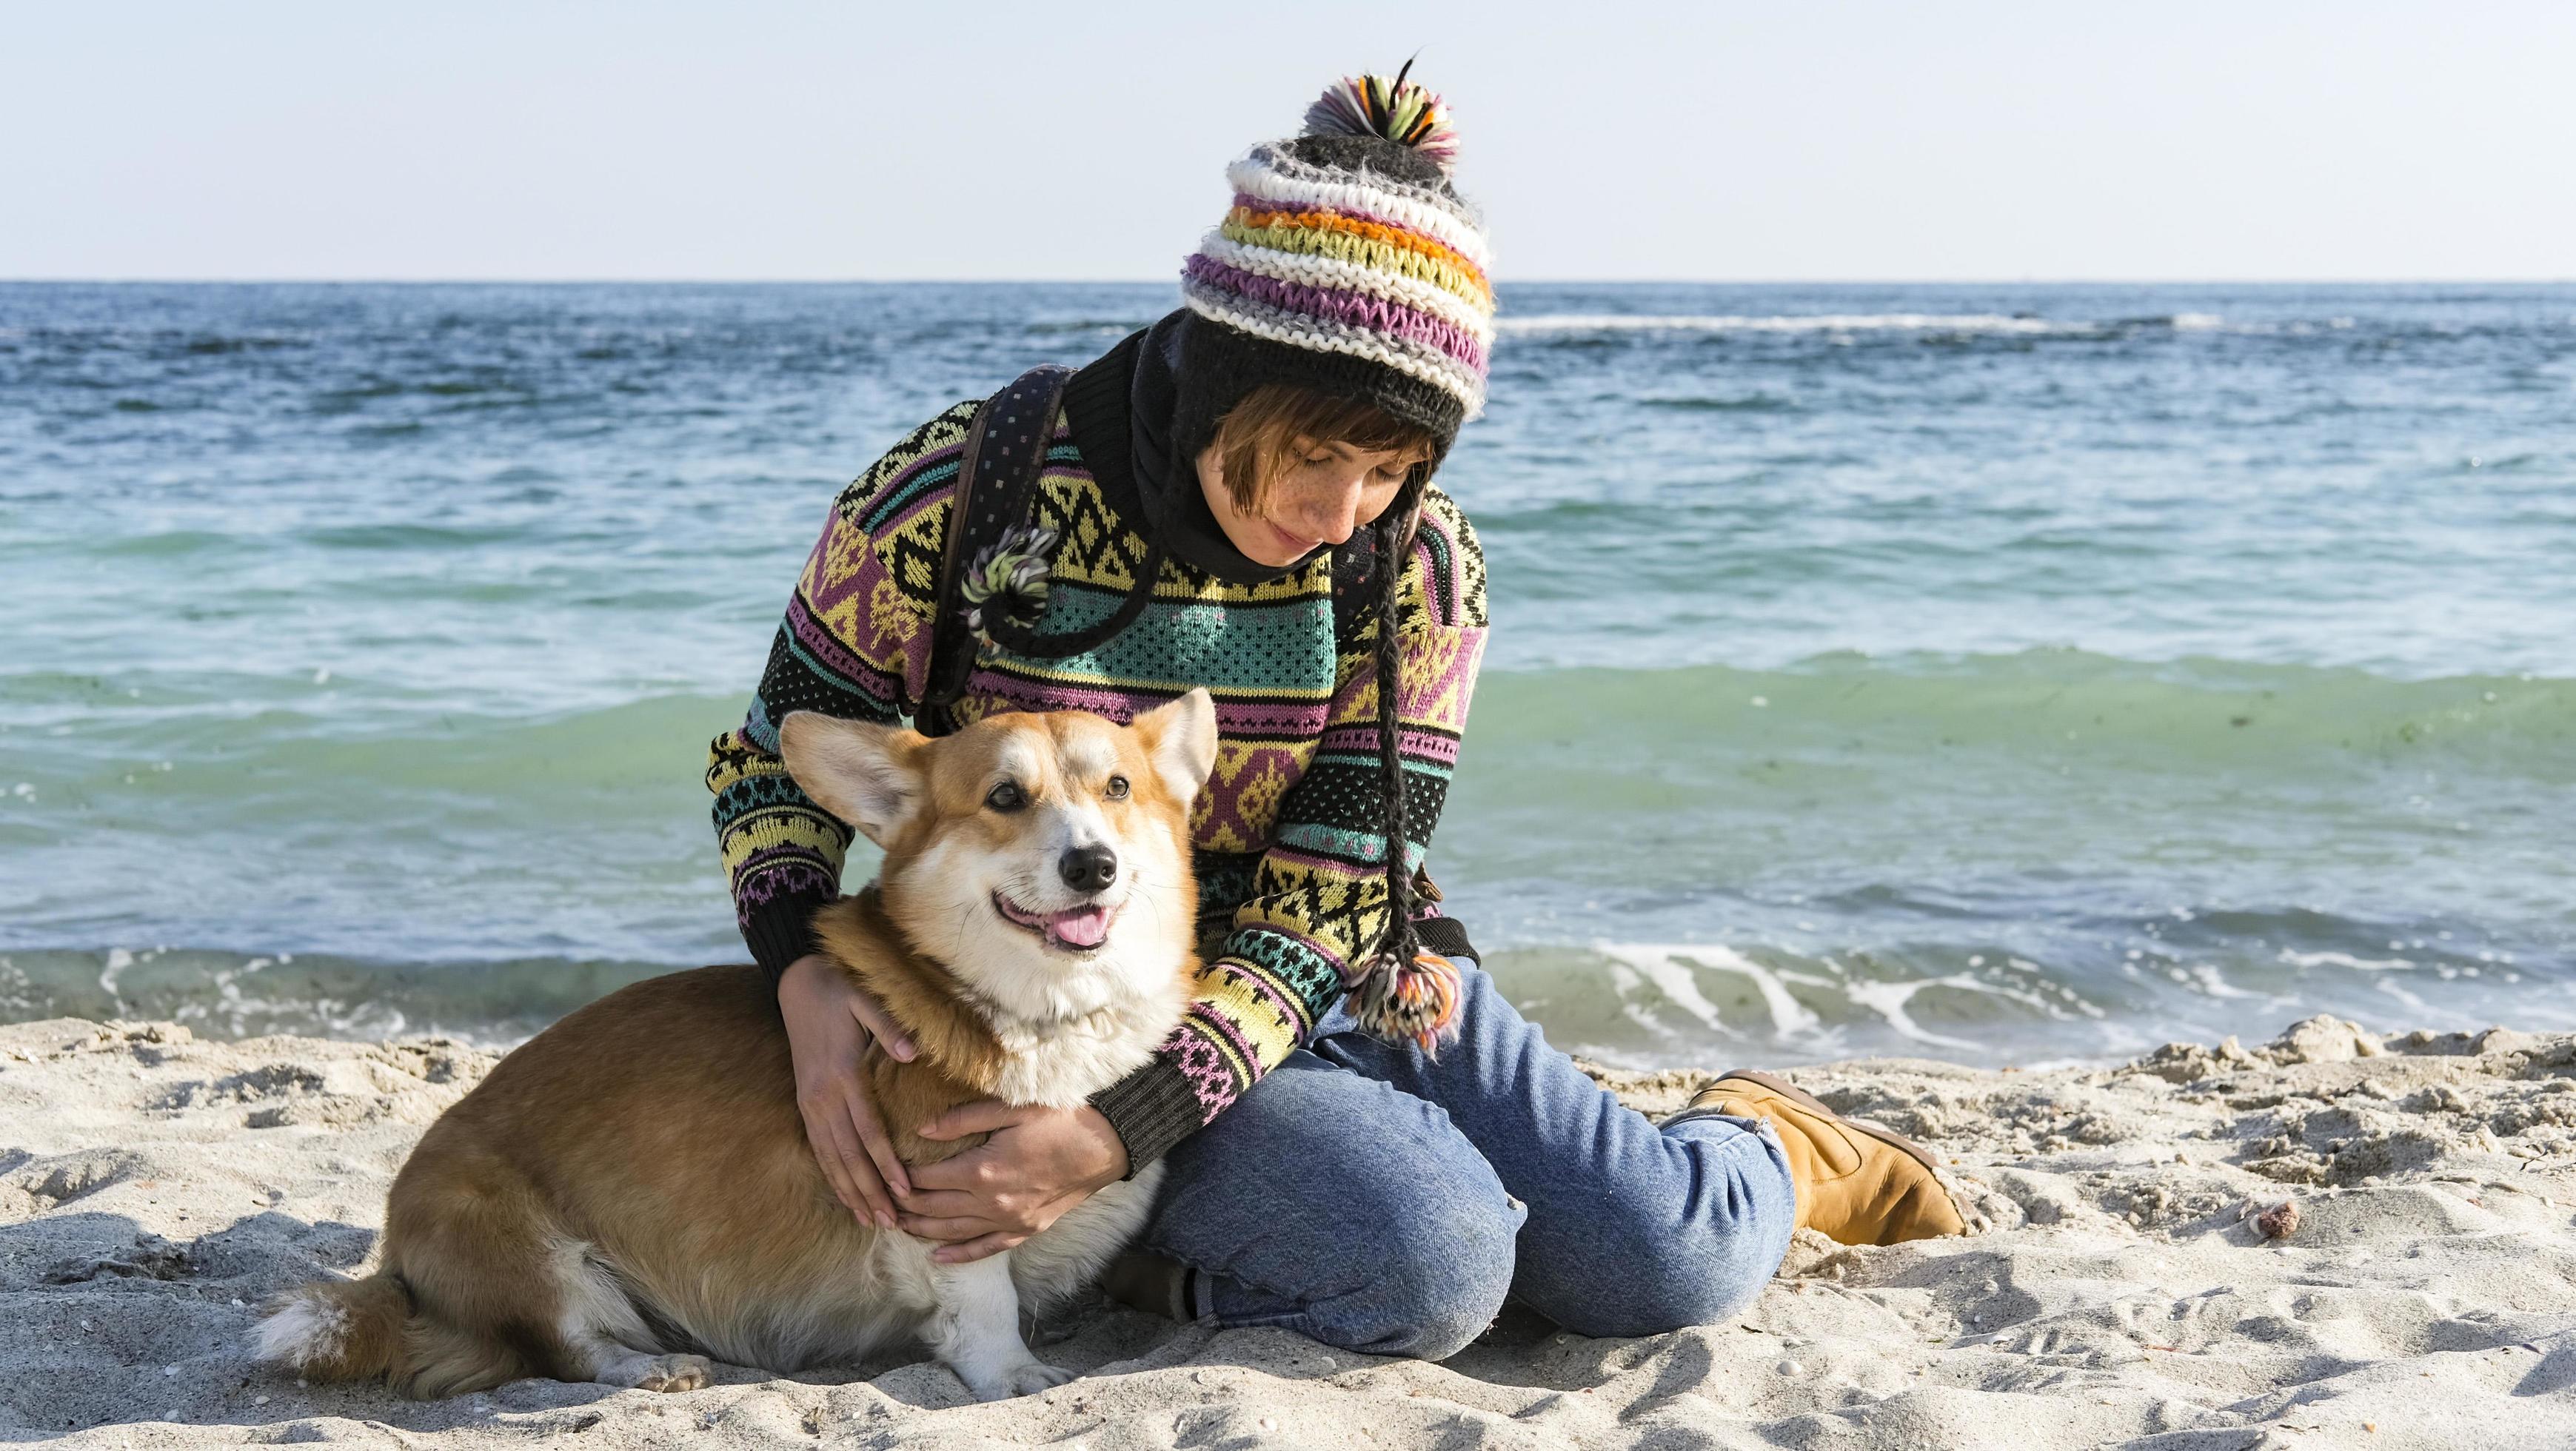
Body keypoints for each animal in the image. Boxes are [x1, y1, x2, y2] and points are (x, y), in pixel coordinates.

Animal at [256, 695, 1221, 1401]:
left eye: (1118, 788)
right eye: (1005, 798)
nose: (1092, 865)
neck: (1046, 1012)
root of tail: (394, 1261)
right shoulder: (951, 1212)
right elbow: (985, 1307)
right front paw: (1014, 1376)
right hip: (527, 1255)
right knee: (567, 1352)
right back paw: (654, 1367)